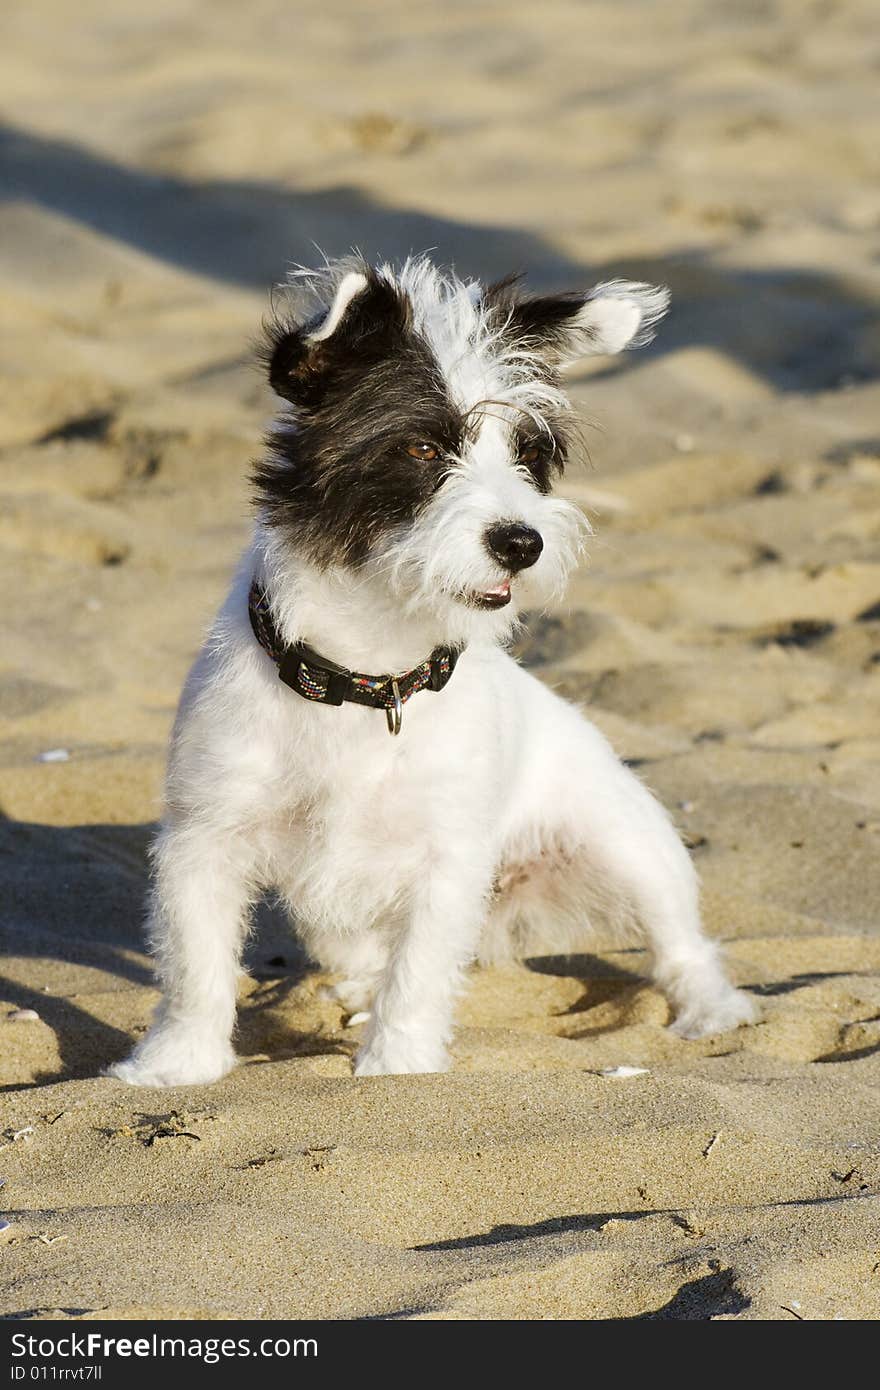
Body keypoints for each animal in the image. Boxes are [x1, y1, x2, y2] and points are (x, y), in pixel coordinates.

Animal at [109, 258, 756, 1084]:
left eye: (528, 456)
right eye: (421, 449)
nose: (522, 542)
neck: (366, 677)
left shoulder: (445, 862)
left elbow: (417, 974)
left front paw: (399, 1070)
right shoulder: (204, 838)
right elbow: (195, 966)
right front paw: (176, 1065)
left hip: (630, 846)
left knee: (680, 944)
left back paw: (711, 1010)